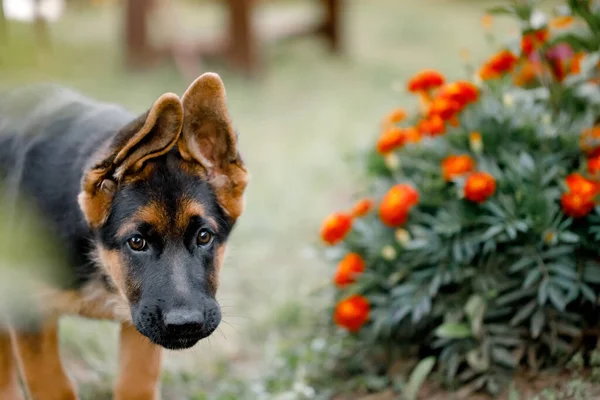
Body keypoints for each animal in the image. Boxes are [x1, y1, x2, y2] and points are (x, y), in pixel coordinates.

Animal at [0, 72, 248, 400]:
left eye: (204, 236)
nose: (185, 325)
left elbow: (135, 383)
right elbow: (54, 386)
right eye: (136, 242)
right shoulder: (28, 313)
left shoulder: (140, 325)